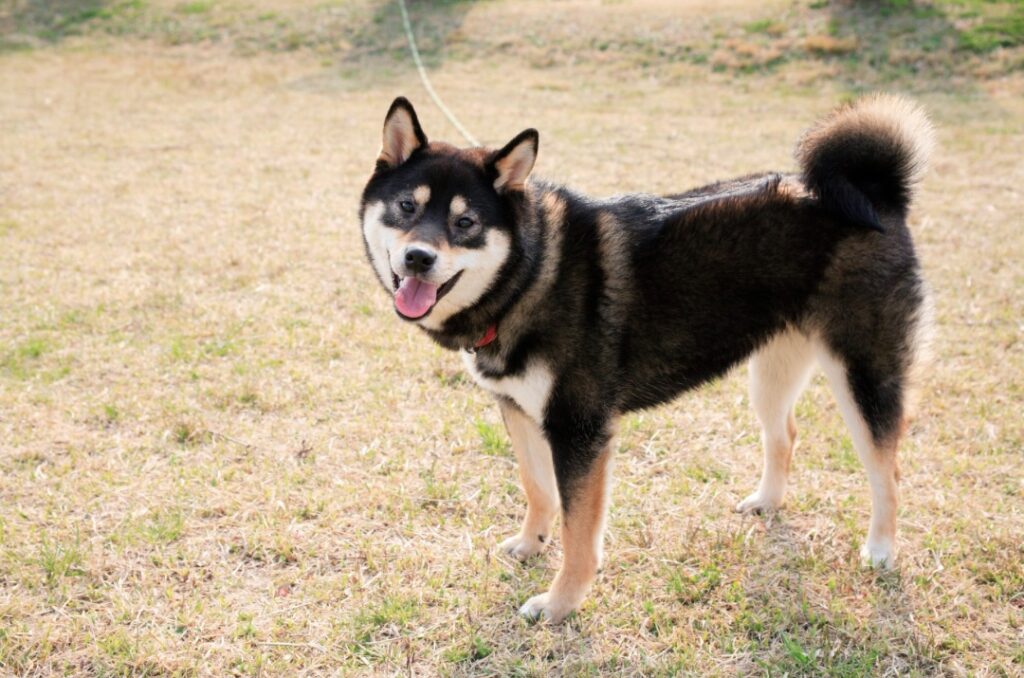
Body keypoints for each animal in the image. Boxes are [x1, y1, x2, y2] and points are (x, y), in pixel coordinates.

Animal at [359, 94, 933, 623]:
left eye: (467, 223)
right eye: (407, 208)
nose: (418, 257)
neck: (530, 275)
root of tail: (878, 194)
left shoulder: (580, 430)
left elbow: (578, 531)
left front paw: (559, 603)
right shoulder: (519, 410)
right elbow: (537, 489)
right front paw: (530, 544)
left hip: (862, 375)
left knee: (888, 470)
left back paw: (880, 549)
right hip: (770, 373)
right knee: (785, 435)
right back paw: (767, 502)